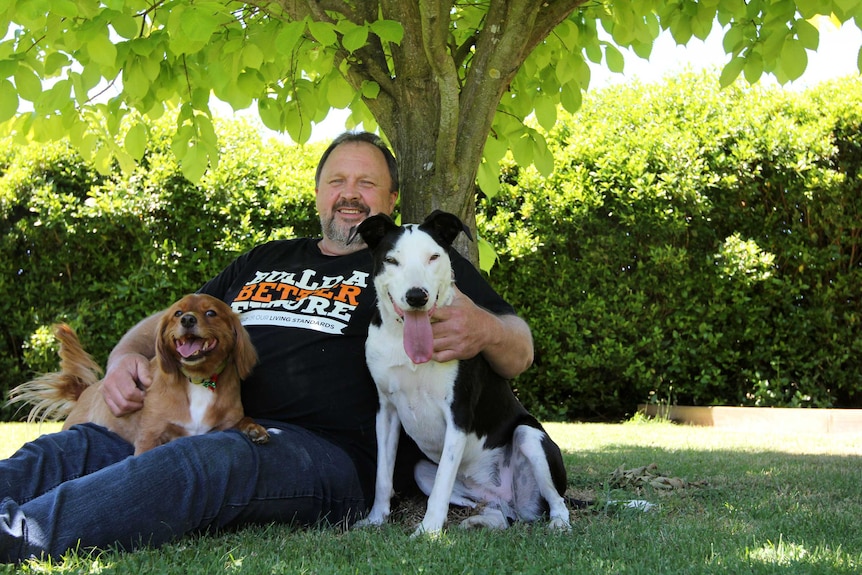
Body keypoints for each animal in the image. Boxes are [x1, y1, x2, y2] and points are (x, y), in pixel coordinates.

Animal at [7, 296, 270, 454]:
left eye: (211, 313)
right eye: (177, 313)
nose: (187, 319)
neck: (198, 380)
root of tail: (86, 391)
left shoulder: (225, 424)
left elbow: (243, 420)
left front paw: (255, 429)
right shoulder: (150, 436)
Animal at [354, 210, 572, 536]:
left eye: (433, 256)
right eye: (391, 260)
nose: (417, 296)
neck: (404, 341)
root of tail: (504, 495)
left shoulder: (457, 415)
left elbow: (443, 482)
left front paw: (428, 531)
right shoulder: (386, 410)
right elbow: (383, 475)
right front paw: (376, 519)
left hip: (530, 437)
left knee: (557, 501)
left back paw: (558, 522)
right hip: (424, 472)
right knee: (501, 514)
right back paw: (480, 519)